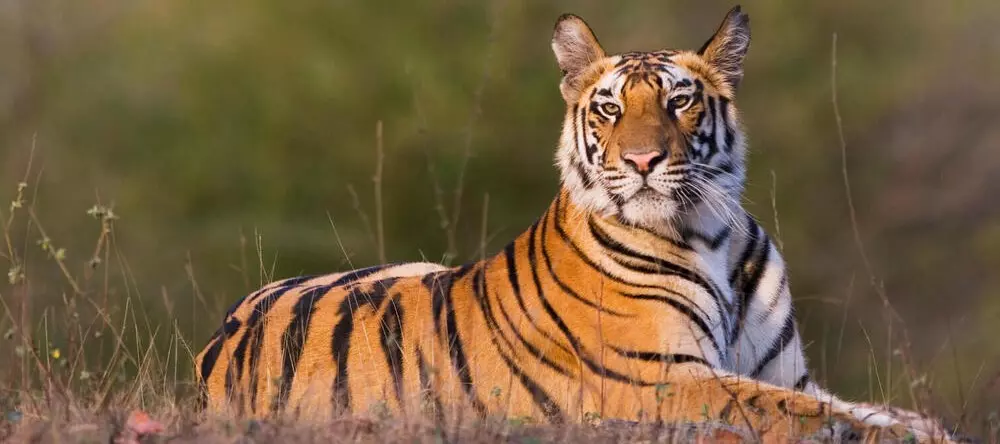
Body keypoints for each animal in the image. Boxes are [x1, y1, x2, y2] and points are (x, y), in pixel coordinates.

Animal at [195, 6, 957, 442]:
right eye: (611, 109)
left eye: (680, 102)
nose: (644, 160)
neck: (711, 233)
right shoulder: (663, 379)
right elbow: (798, 415)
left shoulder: (788, 373)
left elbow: (862, 407)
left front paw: (925, 424)